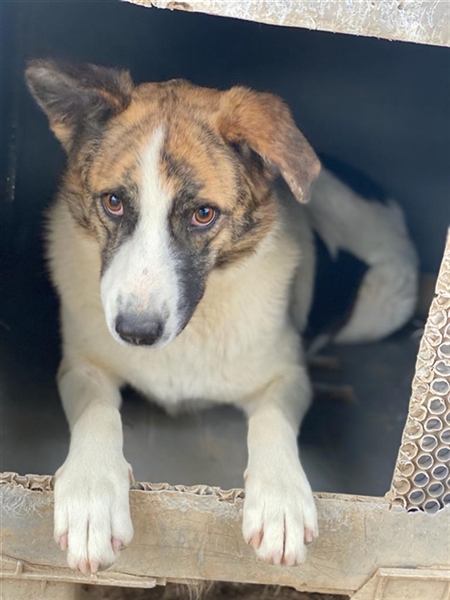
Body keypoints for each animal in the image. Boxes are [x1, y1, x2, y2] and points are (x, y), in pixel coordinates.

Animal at [25, 59, 418, 574]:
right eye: (113, 202)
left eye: (203, 215)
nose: (135, 333)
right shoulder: (82, 365)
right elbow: (97, 412)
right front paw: (92, 493)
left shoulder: (285, 374)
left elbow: (271, 421)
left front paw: (280, 498)